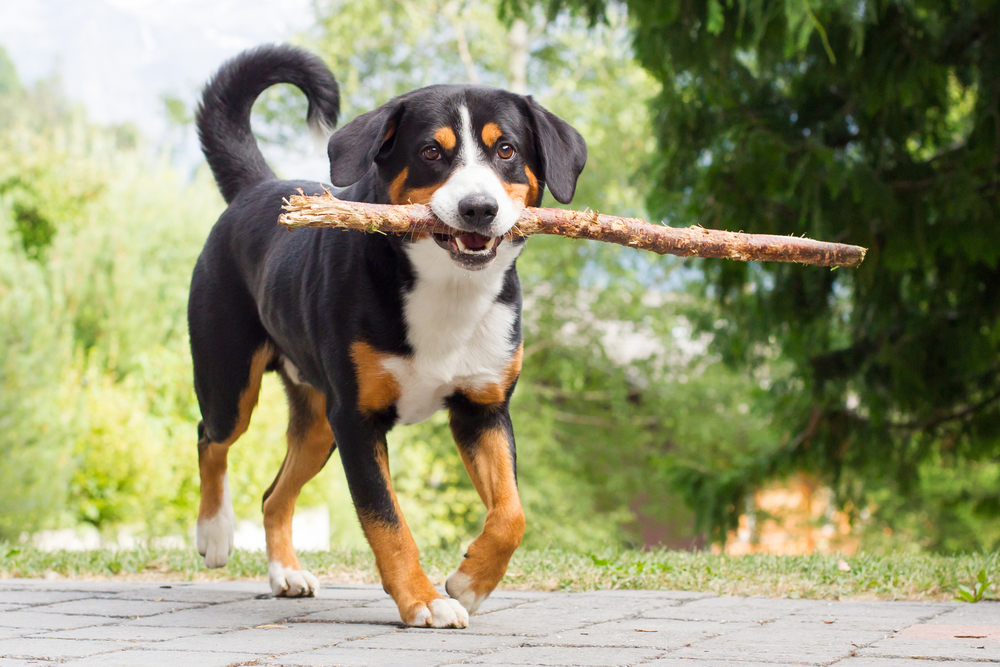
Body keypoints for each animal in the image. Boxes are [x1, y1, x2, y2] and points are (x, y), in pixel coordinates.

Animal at [188, 44, 584, 628]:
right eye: (431, 152)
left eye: (506, 149)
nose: (478, 208)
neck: (448, 291)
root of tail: (257, 188)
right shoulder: (358, 419)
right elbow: (387, 521)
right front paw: (424, 601)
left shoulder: (482, 408)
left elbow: (511, 513)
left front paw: (470, 581)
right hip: (231, 380)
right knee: (211, 439)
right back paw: (214, 532)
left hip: (318, 423)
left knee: (273, 495)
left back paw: (286, 573)